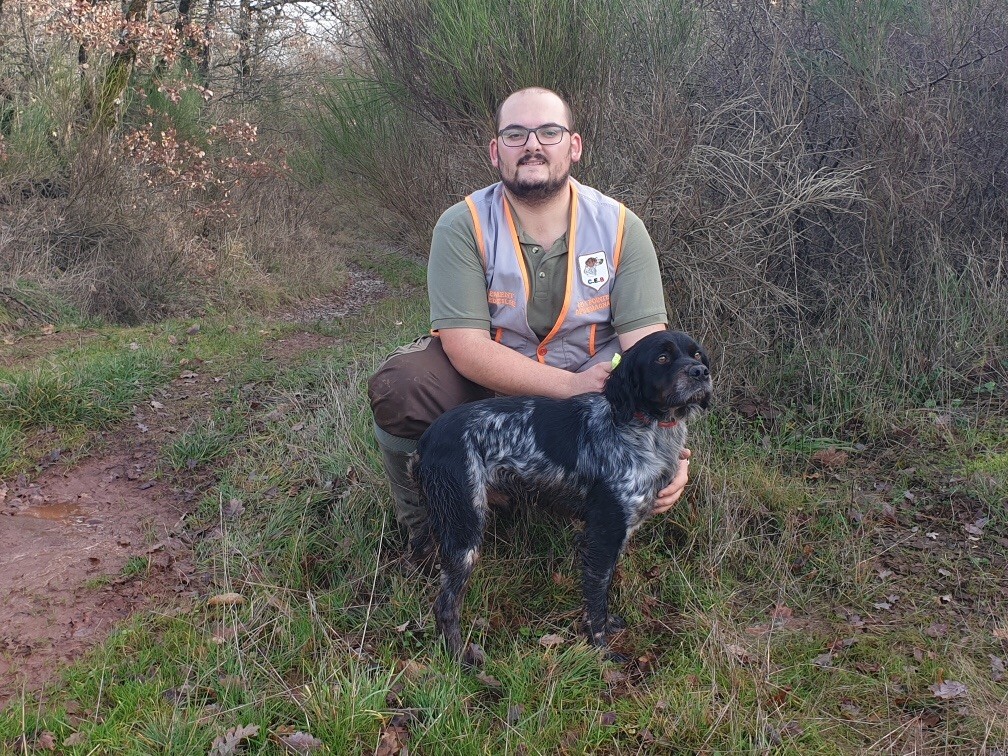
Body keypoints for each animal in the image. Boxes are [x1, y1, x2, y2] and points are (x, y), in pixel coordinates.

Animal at [405, 330, 713, 661]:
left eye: (697, 355)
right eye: (662, 358)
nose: (700, 373)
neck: (646, 430)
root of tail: (426, 440)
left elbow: (604, 590)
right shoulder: (604, 534)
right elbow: (597, 598)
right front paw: (601, 649)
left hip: (446, 515)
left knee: (421, 549)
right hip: (466, 530)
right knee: (445, 606)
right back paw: (460, 659)